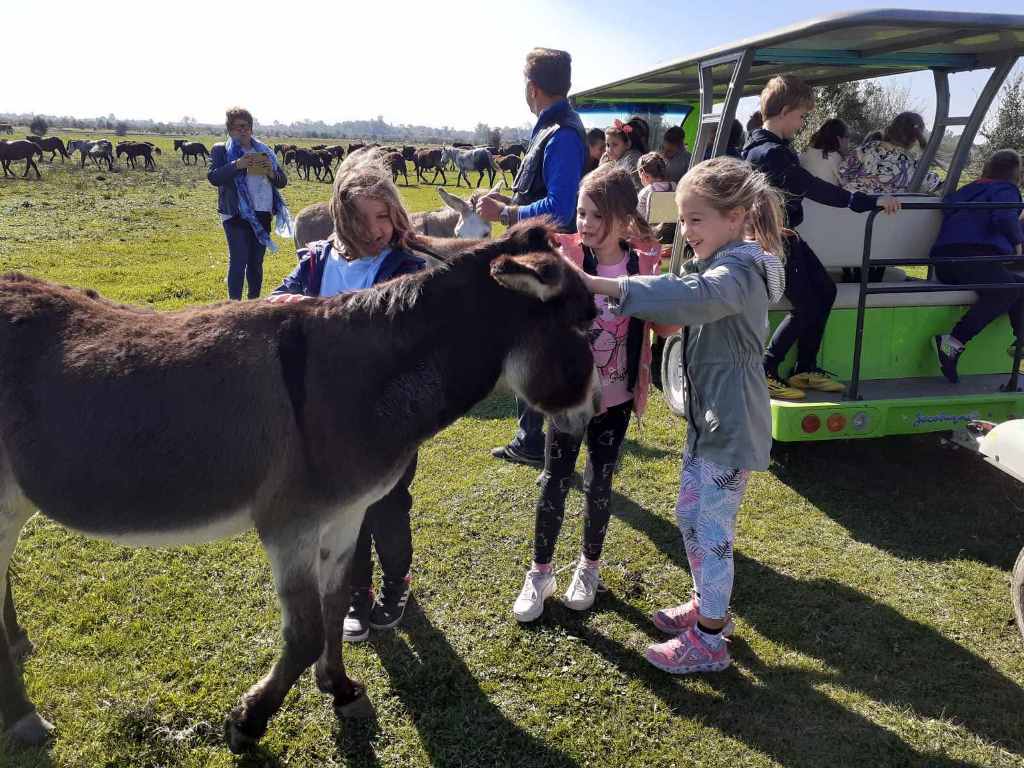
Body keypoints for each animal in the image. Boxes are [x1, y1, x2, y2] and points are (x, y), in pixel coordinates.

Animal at [0, 221, 598, 753]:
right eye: (588, 327)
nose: (592, 416)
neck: (355, 384)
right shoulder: (290, 525)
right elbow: (305, 632)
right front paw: (249, 721)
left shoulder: (345, 516)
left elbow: (335, 603)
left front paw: (341, 689)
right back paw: (25, 718)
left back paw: (18, 644)